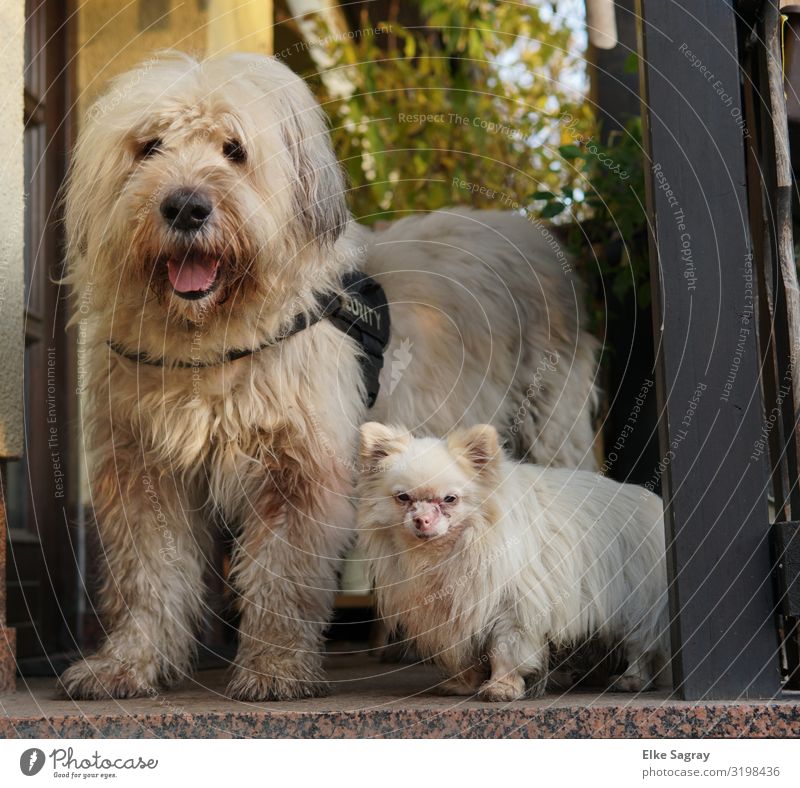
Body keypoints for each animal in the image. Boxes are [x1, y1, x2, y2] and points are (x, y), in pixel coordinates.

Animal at [61, 52, 600, 700]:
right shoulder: (143, 471)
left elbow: (282, 575)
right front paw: (128, 663)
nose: (186, 207)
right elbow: (149, 575)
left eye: (234, 149)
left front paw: (274, 669)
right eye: (150, 146)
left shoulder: (299, 472)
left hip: (554, 428)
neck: (210, 341)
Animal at [358, 422, 668, 700]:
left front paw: (502, 687)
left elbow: (505, 651)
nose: (421, 519)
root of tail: (656, 505)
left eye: (450, 499)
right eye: (402, 498)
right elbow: (465, 652)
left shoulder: (513, 606)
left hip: (636, 602)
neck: (454, 550)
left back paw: (632, 679)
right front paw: (464, 684)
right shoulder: (458, 610)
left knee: (640, 643)